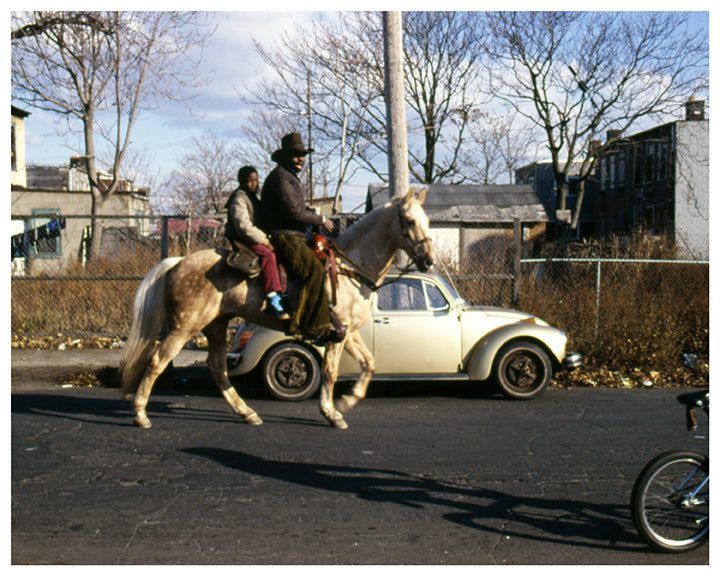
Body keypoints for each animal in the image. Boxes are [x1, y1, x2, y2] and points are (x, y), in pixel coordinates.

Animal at [119, 187, 434, 430]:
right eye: (409, 220)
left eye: (427, 220)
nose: (429, 260)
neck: (350, 267)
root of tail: (177, 262)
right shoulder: (337, 333)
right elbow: (330, 372)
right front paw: (331, 413)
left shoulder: (347, 331)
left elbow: (369, 363)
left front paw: (349, 399)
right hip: (184, 327)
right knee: (157, 360)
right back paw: (140, 414)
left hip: (216, 326)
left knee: (217, 368)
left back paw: (247, 413)